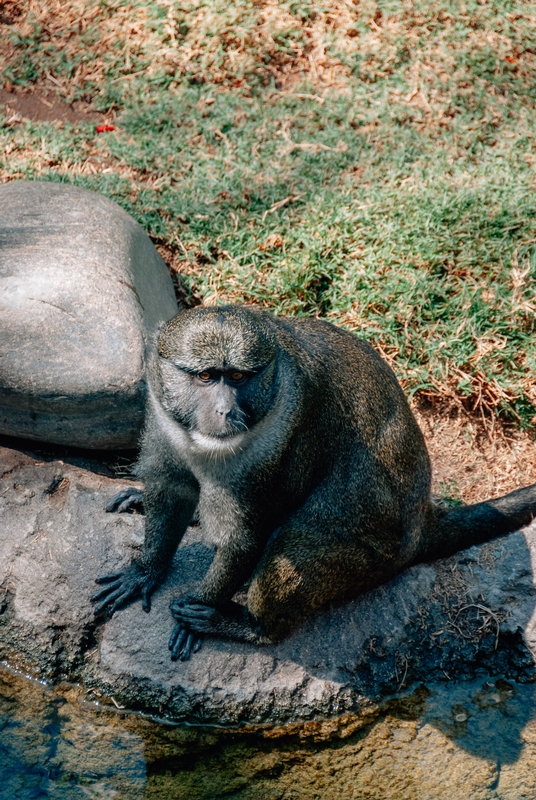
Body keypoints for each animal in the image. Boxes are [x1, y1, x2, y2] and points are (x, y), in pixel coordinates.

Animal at [93, 304, 536, 660]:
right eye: (205, 377)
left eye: (237, 377)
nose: (226, 411)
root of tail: (420, 526)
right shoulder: (161, 415)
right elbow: (172, 491)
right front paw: (145, 570)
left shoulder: (283, 434)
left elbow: (246, 539)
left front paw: (200, 606)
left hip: (372, 558)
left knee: (292, 545)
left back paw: (252, 627)